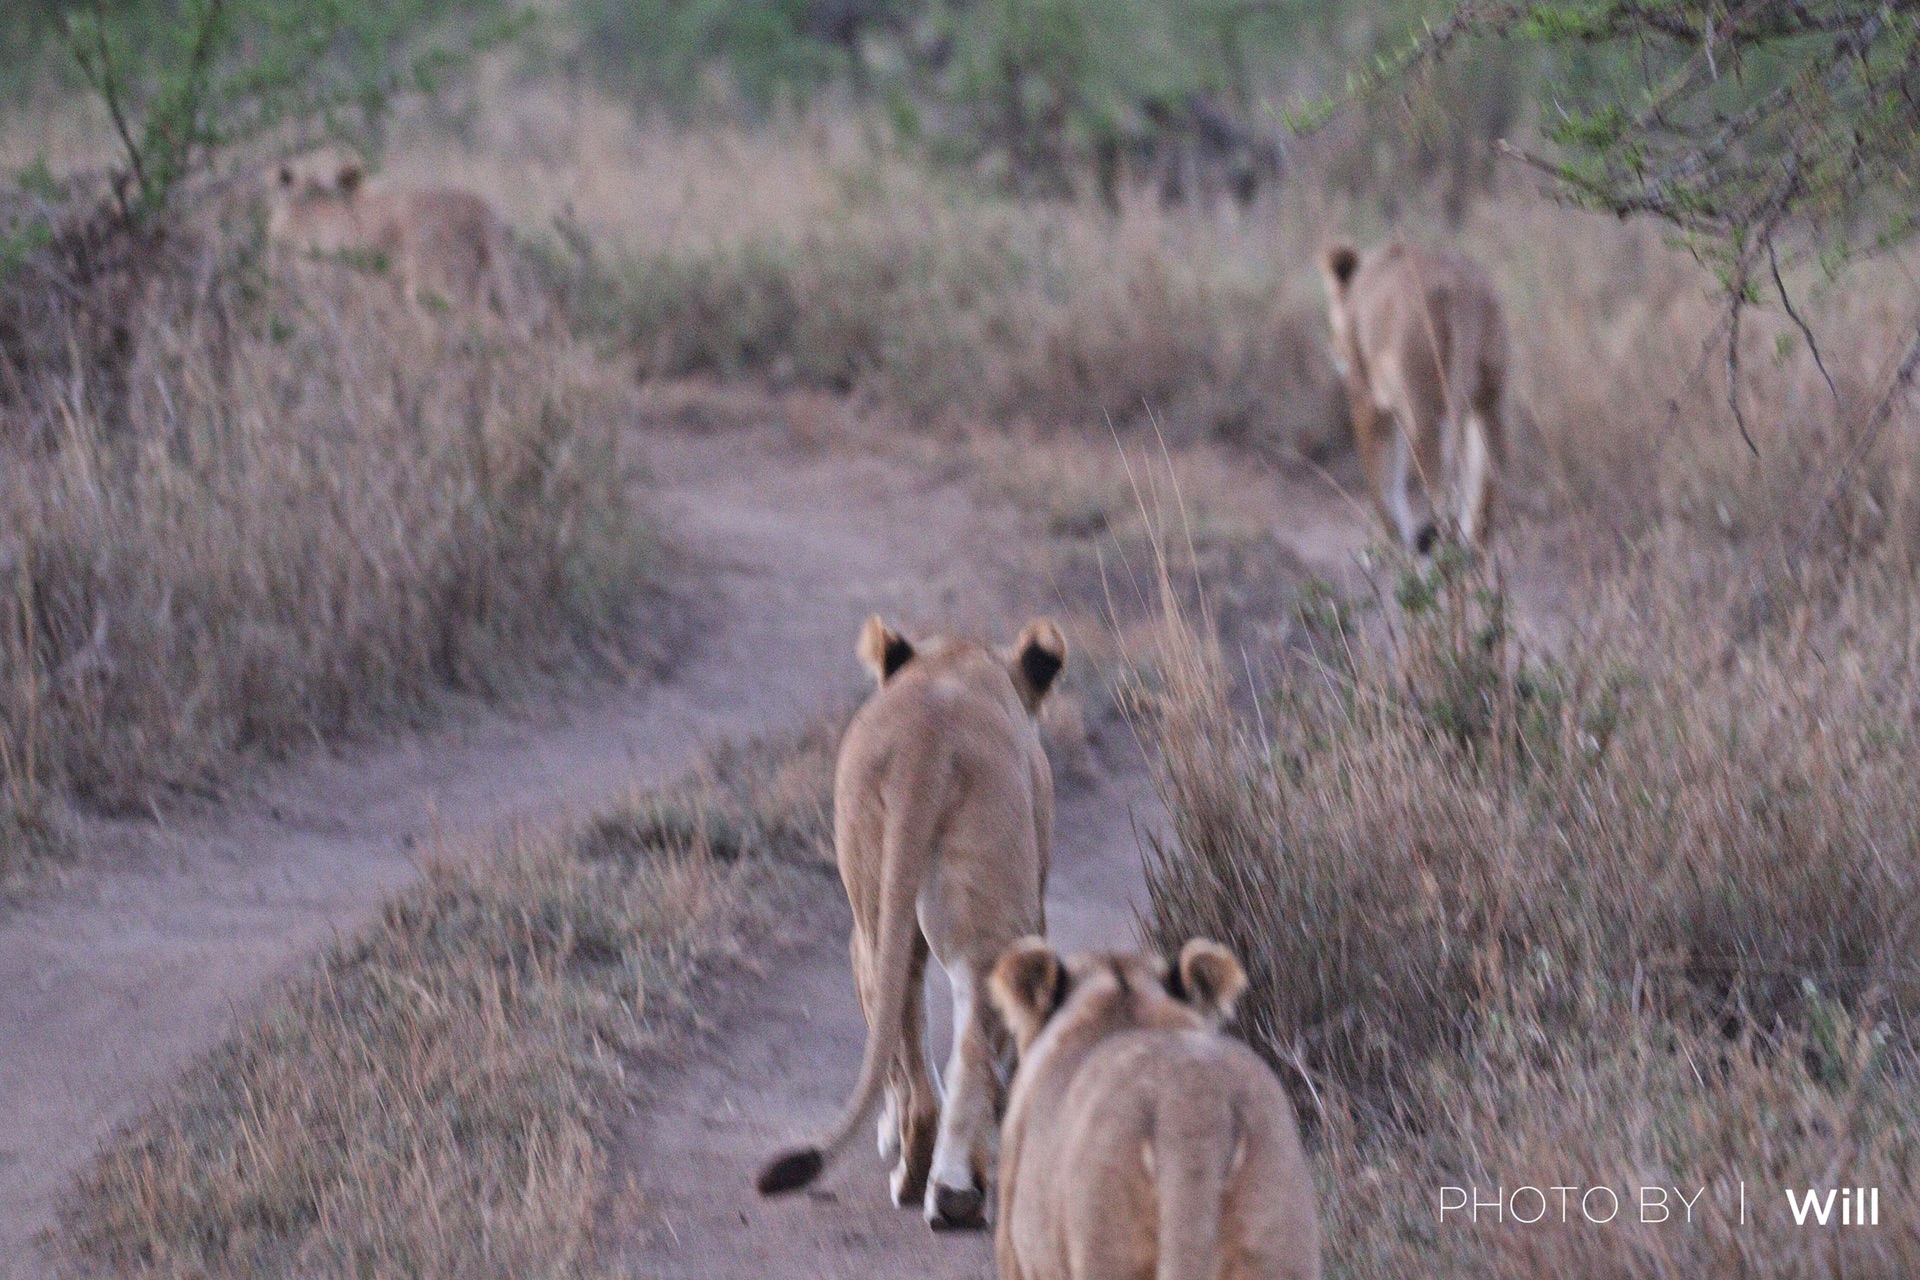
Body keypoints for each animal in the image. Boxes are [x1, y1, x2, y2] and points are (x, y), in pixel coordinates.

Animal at [760, 614, 1067, 1235]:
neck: (955, 661)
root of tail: (929, 741)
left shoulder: (862, 940)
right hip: (974, 917)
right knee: (968, 1048)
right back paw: (953, 1195)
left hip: (887, 918)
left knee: (931, 1076)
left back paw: (923, 1184)